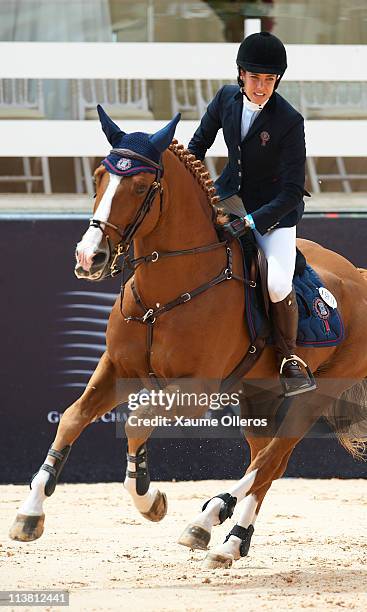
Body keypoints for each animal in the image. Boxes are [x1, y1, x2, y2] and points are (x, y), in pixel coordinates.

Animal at [10, 109, 367, 568]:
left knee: (271, 458)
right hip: (259, 395)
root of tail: (358, 275)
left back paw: (209, 517)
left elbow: (137, 421)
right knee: (270, 460)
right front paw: (29, 513)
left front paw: (149, 498)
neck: (162, 297)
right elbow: (72, 418)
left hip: (316, 393)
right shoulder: (117, 368)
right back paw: (231, 542)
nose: (89, 257)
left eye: (140, 187)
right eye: (97, 178)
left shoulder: (195, 390)